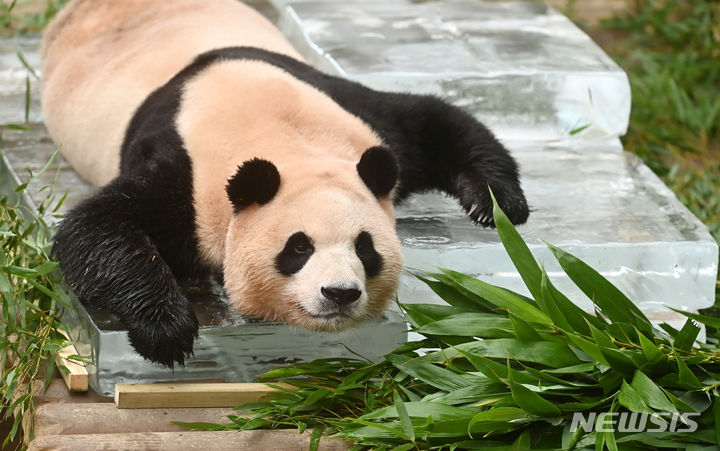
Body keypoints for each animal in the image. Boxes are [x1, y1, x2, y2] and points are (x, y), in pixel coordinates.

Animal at [43, 0, 528, 368]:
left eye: (364, 248)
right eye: (298, 248)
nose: (339, 293)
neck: (281, 134)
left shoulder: (363, 120)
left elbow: (435, 122)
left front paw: (495, 203)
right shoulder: (183, 175)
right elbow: (95, 226)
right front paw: (167, 331)